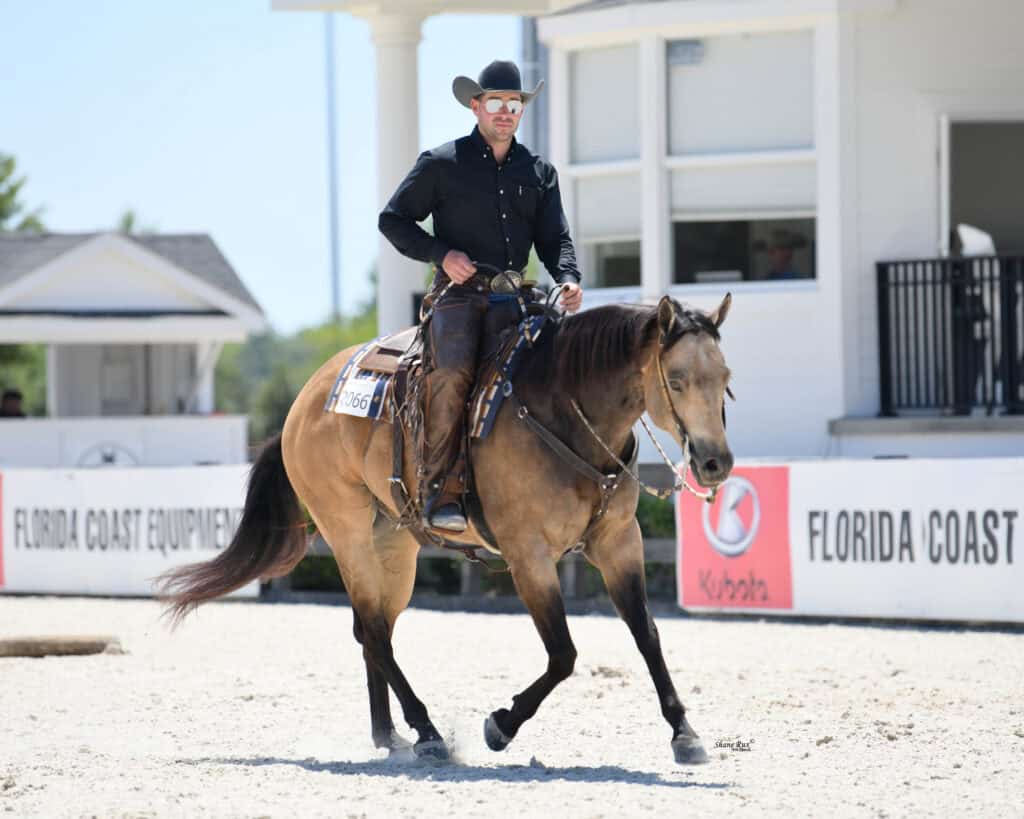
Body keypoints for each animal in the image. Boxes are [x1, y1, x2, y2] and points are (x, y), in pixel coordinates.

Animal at [159, 293, 734, 765]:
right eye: (676, 379)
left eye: (726, 378)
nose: (715, 463)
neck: (562, 412)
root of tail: (301, 405)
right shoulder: (528, 556)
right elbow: (563, 654)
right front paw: (500, 725)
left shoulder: (619, 544)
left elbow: (647, 634)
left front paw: (684, 732)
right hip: (346, 533)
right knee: (374, 631)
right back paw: (427, 731)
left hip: (393, 545)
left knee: (373, 630)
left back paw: (389, 735)